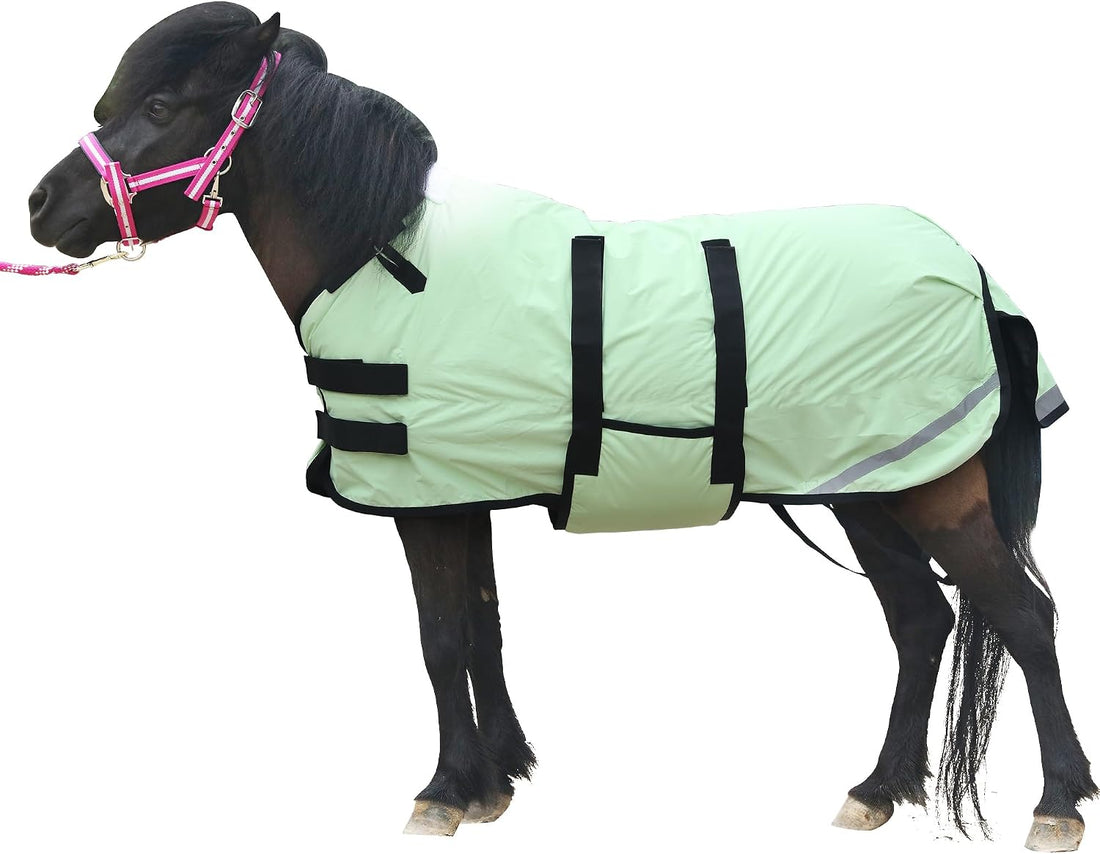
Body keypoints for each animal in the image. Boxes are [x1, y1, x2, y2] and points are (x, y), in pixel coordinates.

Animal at [22, 3, 1095, 848]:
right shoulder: (464, 493)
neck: (384, 255)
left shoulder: (426, 504)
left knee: (1021, 617)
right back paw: (877, 790)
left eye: (162, 110)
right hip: (865, 489)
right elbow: (484, 629)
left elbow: (442, 639)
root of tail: (970, 268)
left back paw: (1056, 804)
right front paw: (497, 779)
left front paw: (442, 792)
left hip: (932, 492)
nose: (41, 205)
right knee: (922, 621)